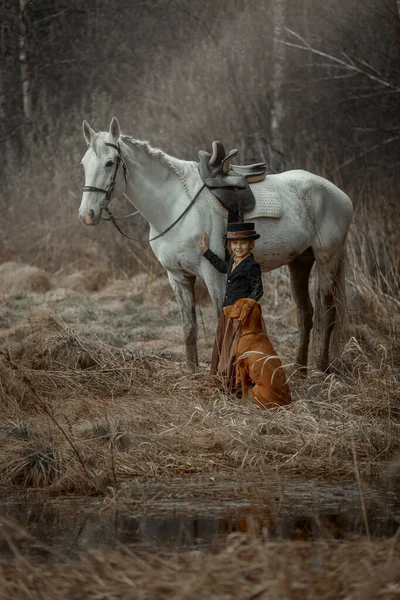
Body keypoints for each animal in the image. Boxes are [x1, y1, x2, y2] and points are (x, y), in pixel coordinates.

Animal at [79, 117, 354, 372]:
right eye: (84, 163)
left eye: (110, 162)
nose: (87, 215)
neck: (174, 204)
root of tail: (339, 194)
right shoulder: (177, 276)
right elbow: (189, 330)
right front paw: (192, 374)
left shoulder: (213, 274)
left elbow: (223, 325)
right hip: (300, 262)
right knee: (305, 314)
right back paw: (300, 370)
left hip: (327, 260)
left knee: (327, 311)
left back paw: (321, 368)